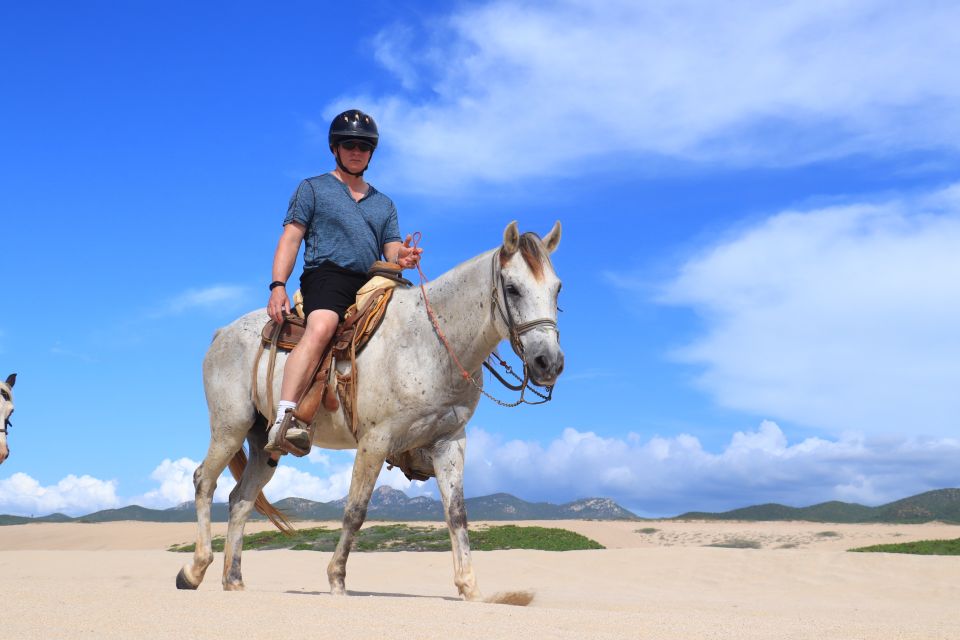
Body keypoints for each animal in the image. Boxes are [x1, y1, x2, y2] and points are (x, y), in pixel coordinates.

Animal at [178, 221, 564, 600]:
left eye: (557, 289)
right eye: (512, 288)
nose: (549, 363)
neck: (431, 344)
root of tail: (222, 333)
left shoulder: (449, 442)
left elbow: (456, 513)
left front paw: (469, 587)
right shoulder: (375, 441)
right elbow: (355, 511)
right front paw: (336, 580)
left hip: (264, 444)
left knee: (241, 500)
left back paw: (233, 580)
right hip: (230, 427)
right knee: (204, 481)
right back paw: (194, 570)